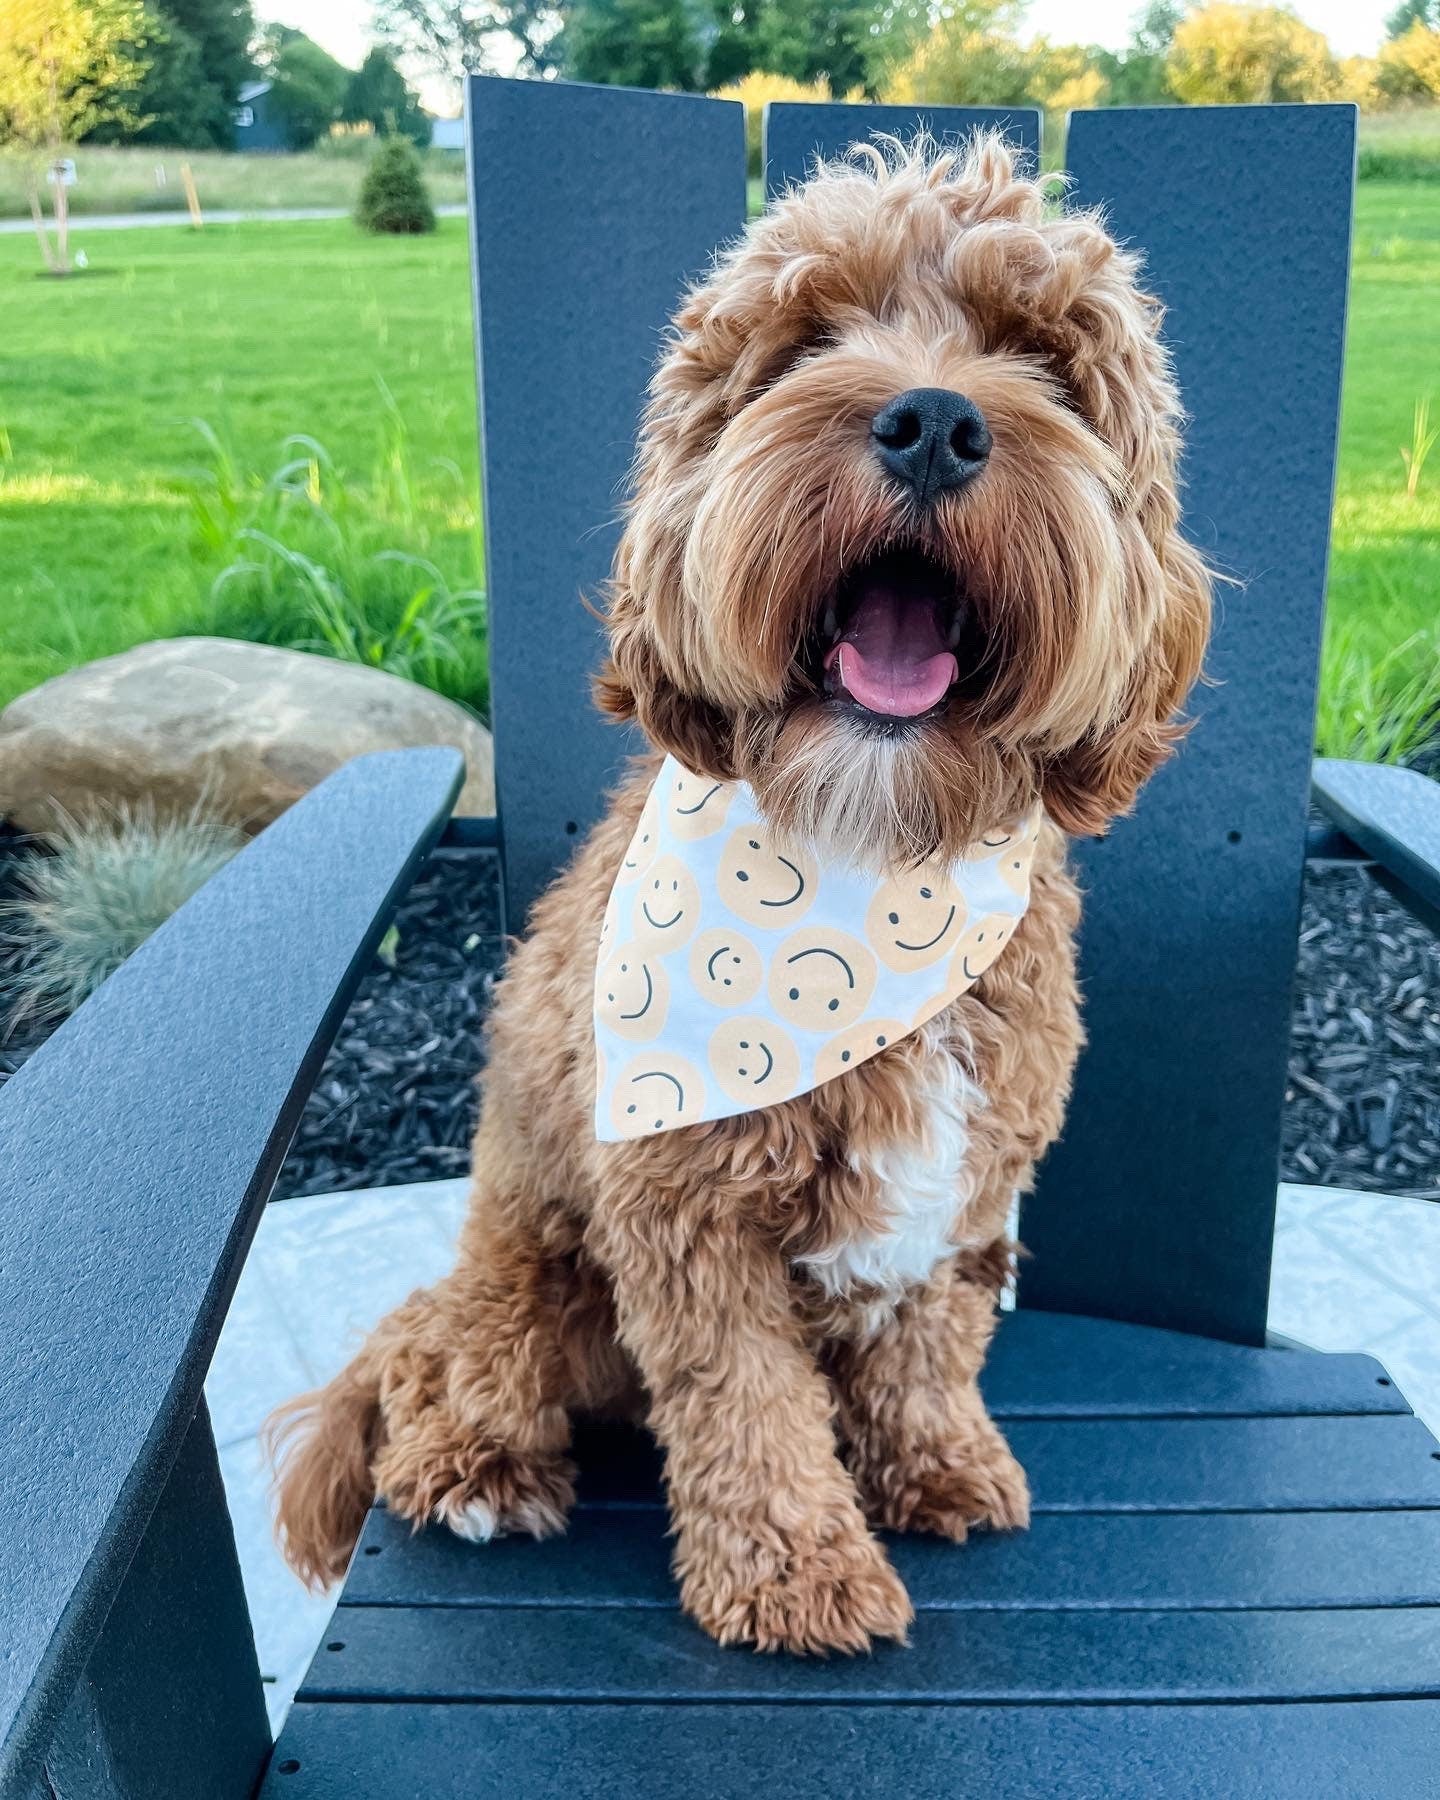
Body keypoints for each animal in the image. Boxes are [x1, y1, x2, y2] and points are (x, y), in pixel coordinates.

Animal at [264, 133, 1209, 1656]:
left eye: (1042, 357)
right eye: (810, 340)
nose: (932, 420)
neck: (869, 853)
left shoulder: (967, 1188)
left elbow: (928, 1342)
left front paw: (937, 1461)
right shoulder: (687, 1216)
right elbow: (745, 1406)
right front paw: (794, 1572)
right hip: (530, 1273)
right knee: (433, 1368)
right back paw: (478, 1470)